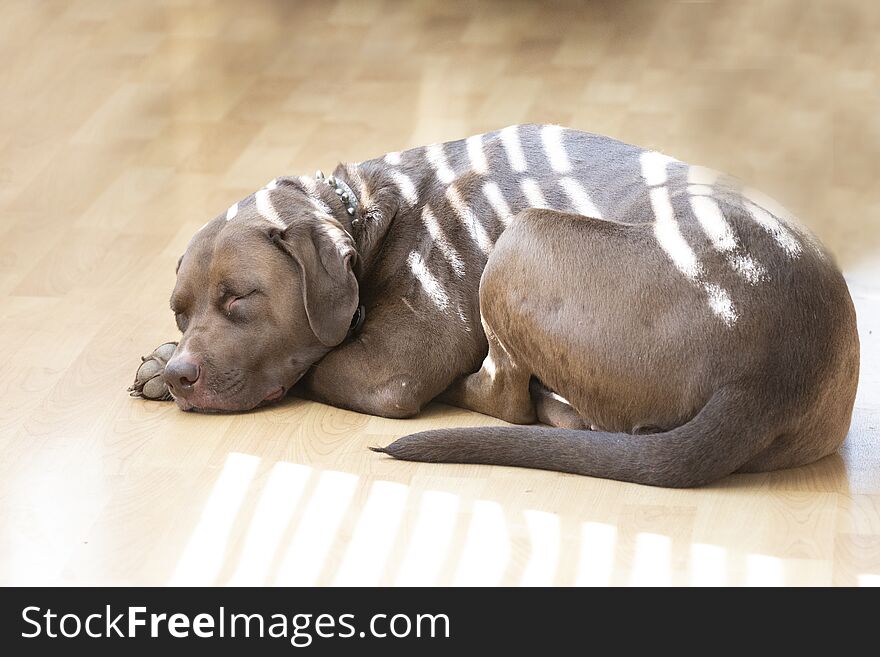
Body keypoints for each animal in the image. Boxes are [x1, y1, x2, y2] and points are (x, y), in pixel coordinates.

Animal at [155, 123, 856, 484]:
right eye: (180, 310)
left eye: (240, 299)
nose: (182, 375)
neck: (366, 210)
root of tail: (768, 376)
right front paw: (158, 362)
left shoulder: (388, 368)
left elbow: (316, 366)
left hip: (523, 237)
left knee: (503, 393)